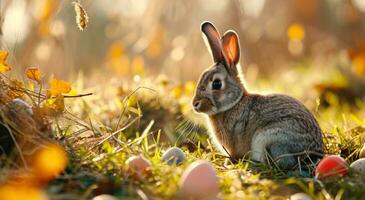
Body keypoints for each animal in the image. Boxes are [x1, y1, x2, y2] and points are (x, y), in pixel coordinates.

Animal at [192, 21, 322, 169]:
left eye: (217, 84)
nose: (195, 104)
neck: (234, 103)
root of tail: (314, 152)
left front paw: (228, 163)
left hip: (268, 137)